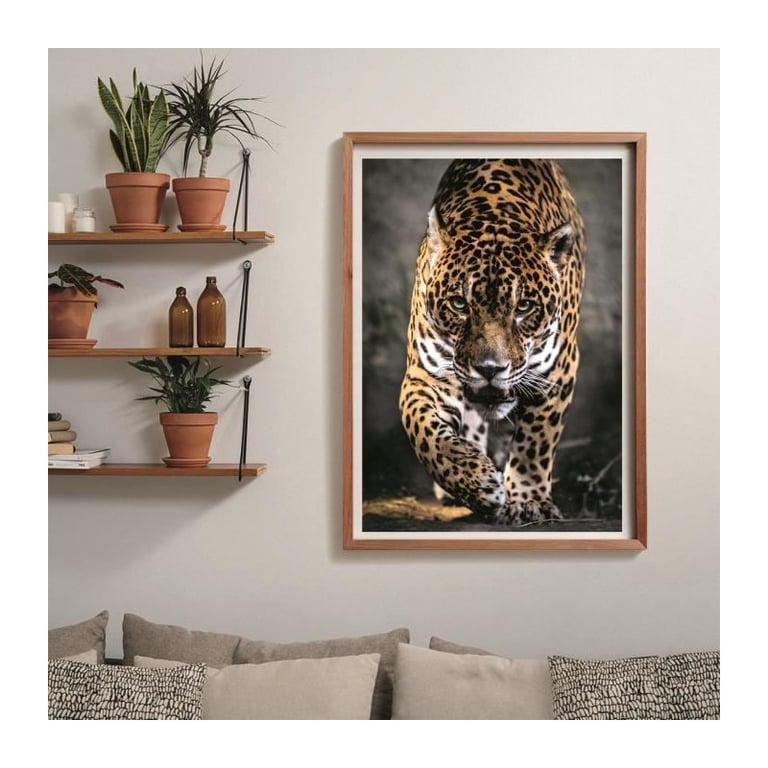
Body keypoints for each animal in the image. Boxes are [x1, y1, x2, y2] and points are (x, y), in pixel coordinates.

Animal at [398, 158, 585, 525]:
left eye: (523, 307)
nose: (490, 369)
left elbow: (535, 442)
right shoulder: (425, 375)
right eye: (459, 304)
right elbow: (424, 431)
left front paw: (528, 501)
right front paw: (476, 483)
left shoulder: (557, 371)